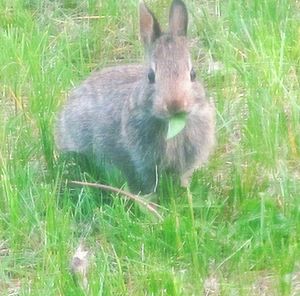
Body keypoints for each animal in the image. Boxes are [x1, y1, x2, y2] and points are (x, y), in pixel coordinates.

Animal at [55, 1, 216, 195]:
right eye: (150, 76)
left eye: (193, 74)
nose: (175, 104)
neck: (170, 124)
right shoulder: (143, 163)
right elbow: (149, 182)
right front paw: (151, 200)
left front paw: (185, 194)